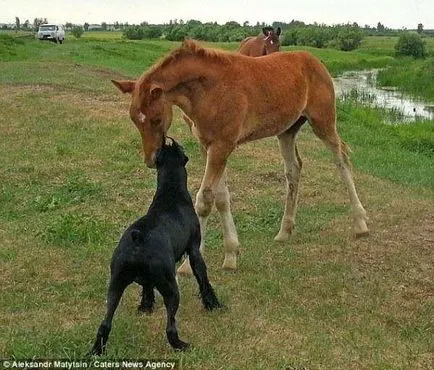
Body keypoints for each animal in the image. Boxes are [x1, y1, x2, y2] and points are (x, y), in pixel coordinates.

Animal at [89, 137, 222, 354]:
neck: (171, 192)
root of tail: (138, 239)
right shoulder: (194, 251)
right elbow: (203, 278)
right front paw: (213, 304)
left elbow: (147, 287)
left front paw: (146, 306)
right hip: (170, 288)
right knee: (170, 325)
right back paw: (181, 345)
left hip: (115, 285)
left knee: (105, 323)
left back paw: (96, 350)